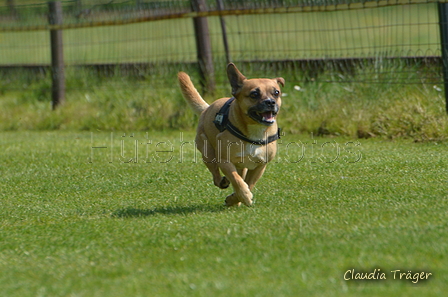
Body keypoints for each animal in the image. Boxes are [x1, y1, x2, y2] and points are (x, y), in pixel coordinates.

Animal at [178, 63, 286, 206]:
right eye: (254, 94)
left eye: (276, 93)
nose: (270, 102)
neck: (254, 130)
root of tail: (207, 108)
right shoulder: (224, 160)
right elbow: (236, 179)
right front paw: (244, 195)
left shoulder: (260, 166)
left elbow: (249, 183)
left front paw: (236, 198)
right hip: (207, 152)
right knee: (216, 175)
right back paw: (223, 182)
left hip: (241, 166)